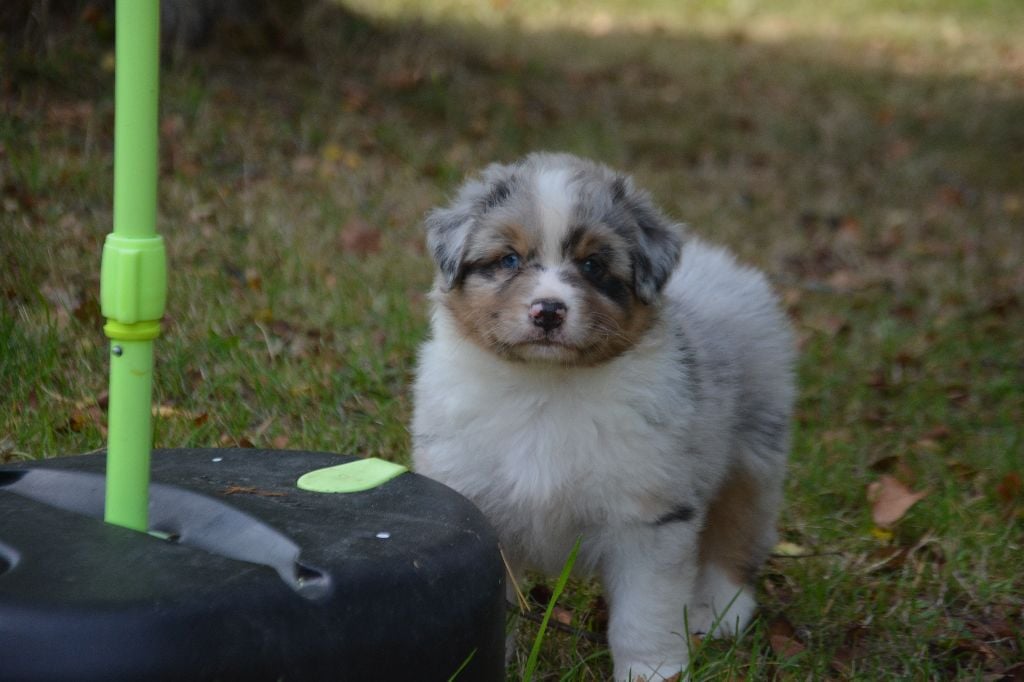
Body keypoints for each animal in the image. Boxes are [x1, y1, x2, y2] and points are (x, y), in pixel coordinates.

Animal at [411, 153, 794, 679]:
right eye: (509, 259)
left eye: (593, 265)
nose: (548, 312)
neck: (546, 387)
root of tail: (718, 263)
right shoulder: (476, 500)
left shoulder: (650, 515)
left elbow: (643, 615)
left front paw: (652, 672)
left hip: (753, 452)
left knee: (736, 532)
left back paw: (718, 612)